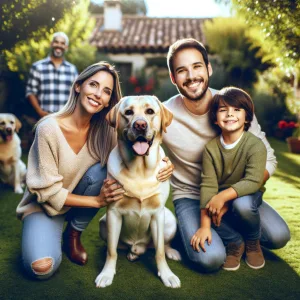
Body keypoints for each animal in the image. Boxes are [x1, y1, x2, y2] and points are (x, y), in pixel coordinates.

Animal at [95, 95, 180, 288]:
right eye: (128, 112)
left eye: (150, 111)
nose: (140, 125)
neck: (139, 169)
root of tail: (138, 246)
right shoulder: (113, 213)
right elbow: (112, 251)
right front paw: (106, 273)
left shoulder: (158, 213)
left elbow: (159, 251)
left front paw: (167, 275)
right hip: (103, 223)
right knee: (118, 246)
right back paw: (131, 252)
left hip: (170, 220)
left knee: (160, 245)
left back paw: (171, 252)